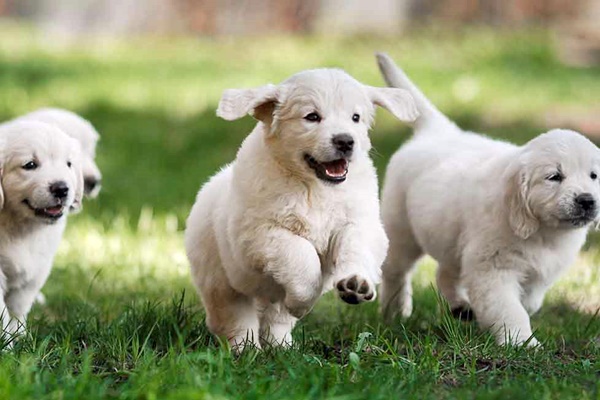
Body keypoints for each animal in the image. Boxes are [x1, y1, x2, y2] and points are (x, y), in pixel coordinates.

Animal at [186, 68, 418, 350]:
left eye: (355, 117)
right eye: (312, 117)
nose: (345, 141)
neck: (313, 187)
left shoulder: (358, 222)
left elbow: (356, 247)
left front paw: (356, 284)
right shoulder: (258, 234)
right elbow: (301, 255)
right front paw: (303, 301)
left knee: (276, 319)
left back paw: (282, 347)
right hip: (221, 280)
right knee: (235, 318)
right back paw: (246, 350)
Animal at [378, 54, 600, 346]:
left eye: (594, 175)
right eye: (554, 177)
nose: (587, 200)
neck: (543, 231)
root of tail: (438, 131)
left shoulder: (538, 272)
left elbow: (530, 301)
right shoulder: (493, 268)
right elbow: (509, 308)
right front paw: (521, 343)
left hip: (451, 238)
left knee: (444, 272)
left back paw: (460, 307)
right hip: (401, 229)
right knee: (395, 271)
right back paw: (394, 311)